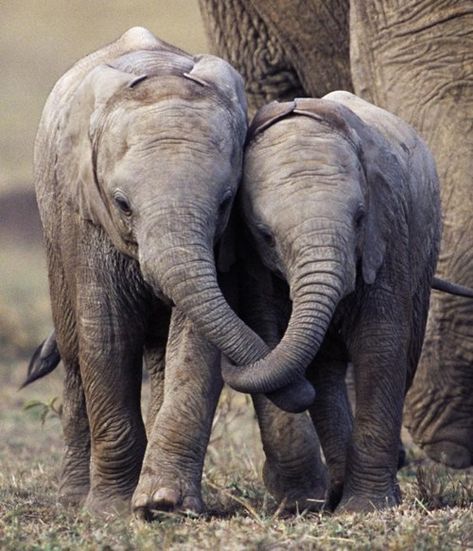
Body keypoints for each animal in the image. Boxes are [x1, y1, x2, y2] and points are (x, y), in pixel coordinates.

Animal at [36, 27, 324, 516]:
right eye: (122, 204)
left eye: (226, 201)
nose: (306, 389)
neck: (159, 74)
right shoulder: (86, 218)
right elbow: (108, 338)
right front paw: (111, 510)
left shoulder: (220, 244)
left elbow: (195, 343)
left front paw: (164, 503)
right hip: (55, 234)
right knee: (75, 352)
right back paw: (74, 499)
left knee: (157, 358)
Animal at [225, 89, 442, 512]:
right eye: (265, 235)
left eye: (359, 218)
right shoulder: (253, 265)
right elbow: (269, 337)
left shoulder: (389, 233)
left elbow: (380, 345)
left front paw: (367, 508)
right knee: (324, 371)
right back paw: (336, 490)